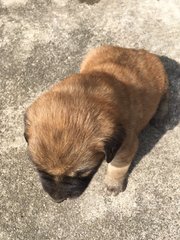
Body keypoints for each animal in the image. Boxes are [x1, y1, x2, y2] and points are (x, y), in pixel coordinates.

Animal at [23, 45, 167, 202]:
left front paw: (113, 185)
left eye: (83, 173)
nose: (57, 199)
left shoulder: (126, 145)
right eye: (40, 169)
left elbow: (117, 166)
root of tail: (138, 50)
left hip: (164, 84)